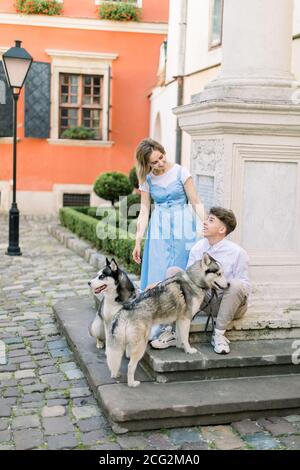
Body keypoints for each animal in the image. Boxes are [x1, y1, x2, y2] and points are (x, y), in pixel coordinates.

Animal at [105, 255, 227, 388]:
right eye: (219, 274)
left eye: (223, 273)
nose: (229, 284)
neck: (194, 281)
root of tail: (125, 310)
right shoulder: (186, 319)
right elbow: (185, 338)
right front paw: (189, 350)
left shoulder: (179, 320)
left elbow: (179, 336)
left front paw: (179, 346)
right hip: (140, 345)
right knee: (130, 366)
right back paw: (132, 383)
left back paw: (116, 374)